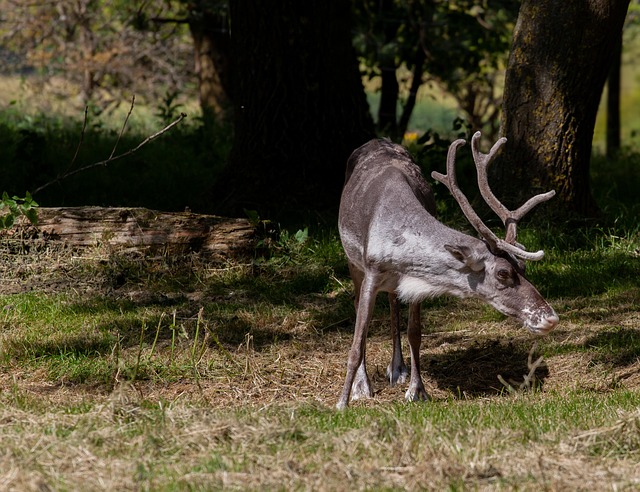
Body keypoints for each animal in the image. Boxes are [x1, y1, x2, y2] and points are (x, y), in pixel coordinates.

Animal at [336, 131, 559, 409]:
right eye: (503, 273)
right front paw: (345, 401)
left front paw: (417, 391)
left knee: (393, 303)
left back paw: (397, 369)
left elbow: (415, 333)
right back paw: (363, 383)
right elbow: (357, 341)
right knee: (358, 306)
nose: (550, 318)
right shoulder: (371, 270)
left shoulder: (414, 281)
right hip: (352, 261)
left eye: (524, 266)